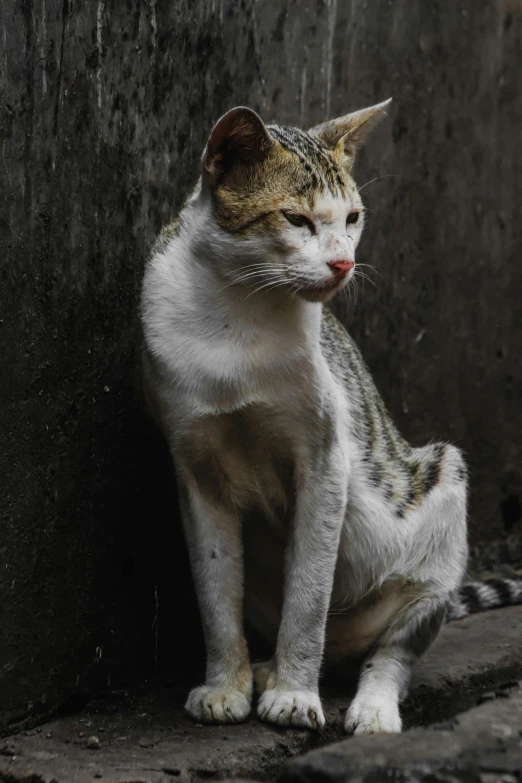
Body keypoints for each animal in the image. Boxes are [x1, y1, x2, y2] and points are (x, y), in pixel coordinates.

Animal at [139, 104, 520, 736]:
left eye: (353, 218)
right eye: (296, 219)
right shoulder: (194, 468)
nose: (344, 261)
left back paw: (368, 706)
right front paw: (225, 687)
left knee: (391, 654)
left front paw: (294, 695)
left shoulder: (325, 462)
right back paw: (265, 668)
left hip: (442, 492)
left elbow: (309, 592)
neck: (235, 315)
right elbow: (215, 592)